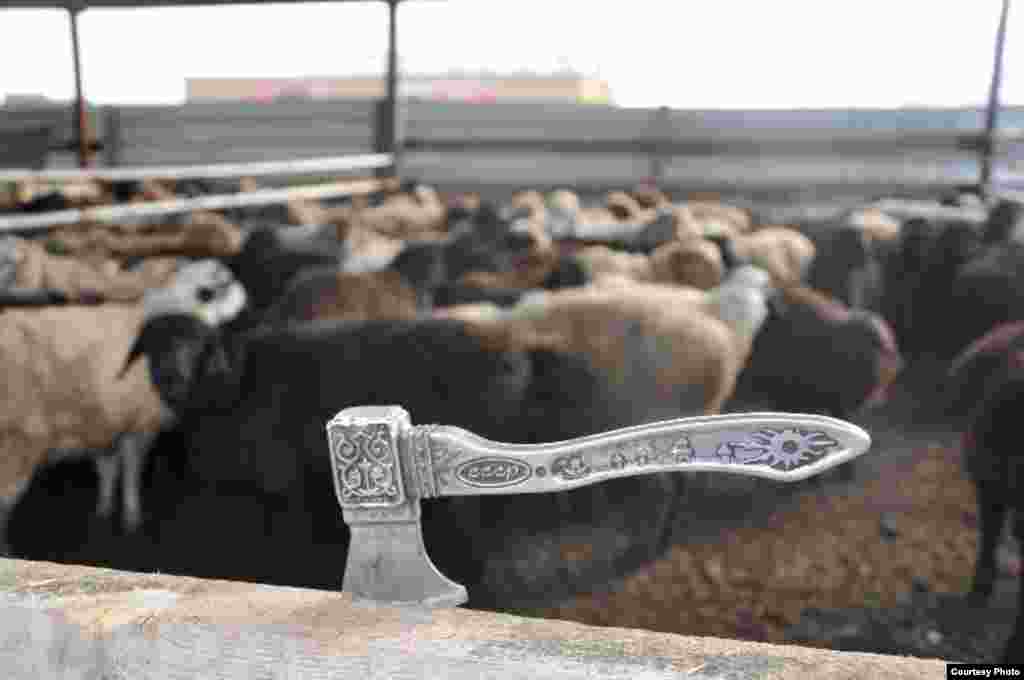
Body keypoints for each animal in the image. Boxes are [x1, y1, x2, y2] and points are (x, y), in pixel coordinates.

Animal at [0, 256, 245, 553]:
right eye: (220, 286)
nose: (245, 298)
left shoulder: (108, 421)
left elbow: (109, 466)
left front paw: (105, 509)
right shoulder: (138, 423)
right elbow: (131, 471)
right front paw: (131, 517)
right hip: (20, 439)